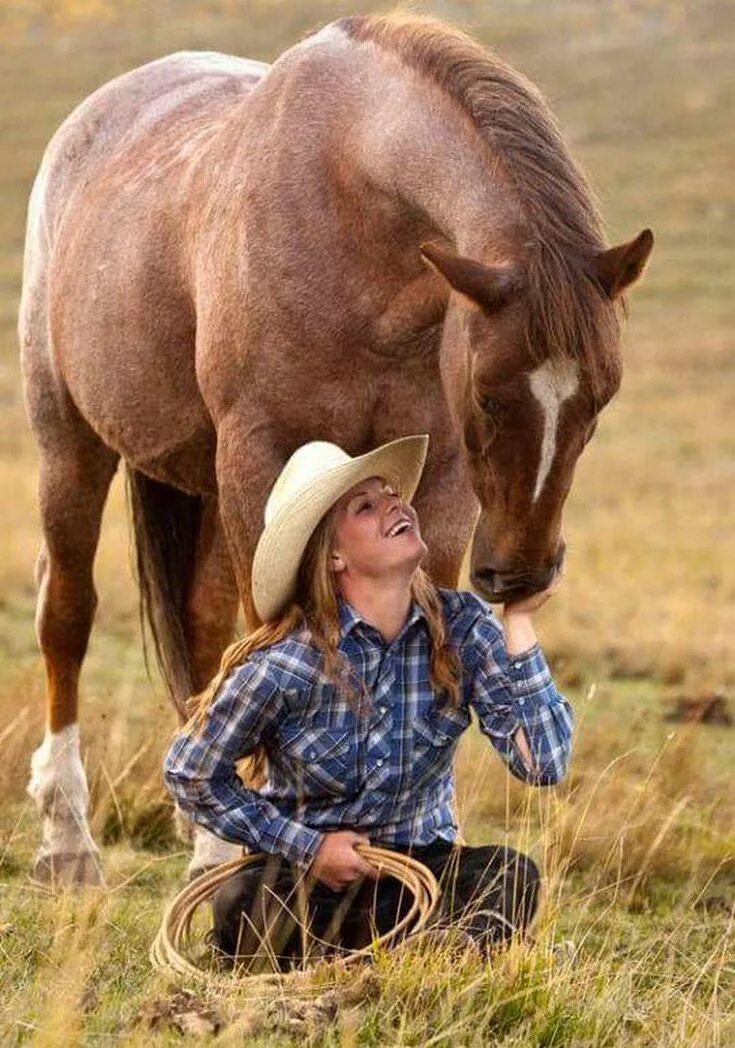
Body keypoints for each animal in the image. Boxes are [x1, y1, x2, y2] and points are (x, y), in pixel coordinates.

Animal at [17, 16, 650, 884]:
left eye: (599, 399)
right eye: (489, 394)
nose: (520, 574)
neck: (351, 214)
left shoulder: (437, 479)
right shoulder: (260, 458)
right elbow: (269, 635)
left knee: (201, 623)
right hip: (71, 444)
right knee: (68, 615)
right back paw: (69, 842)